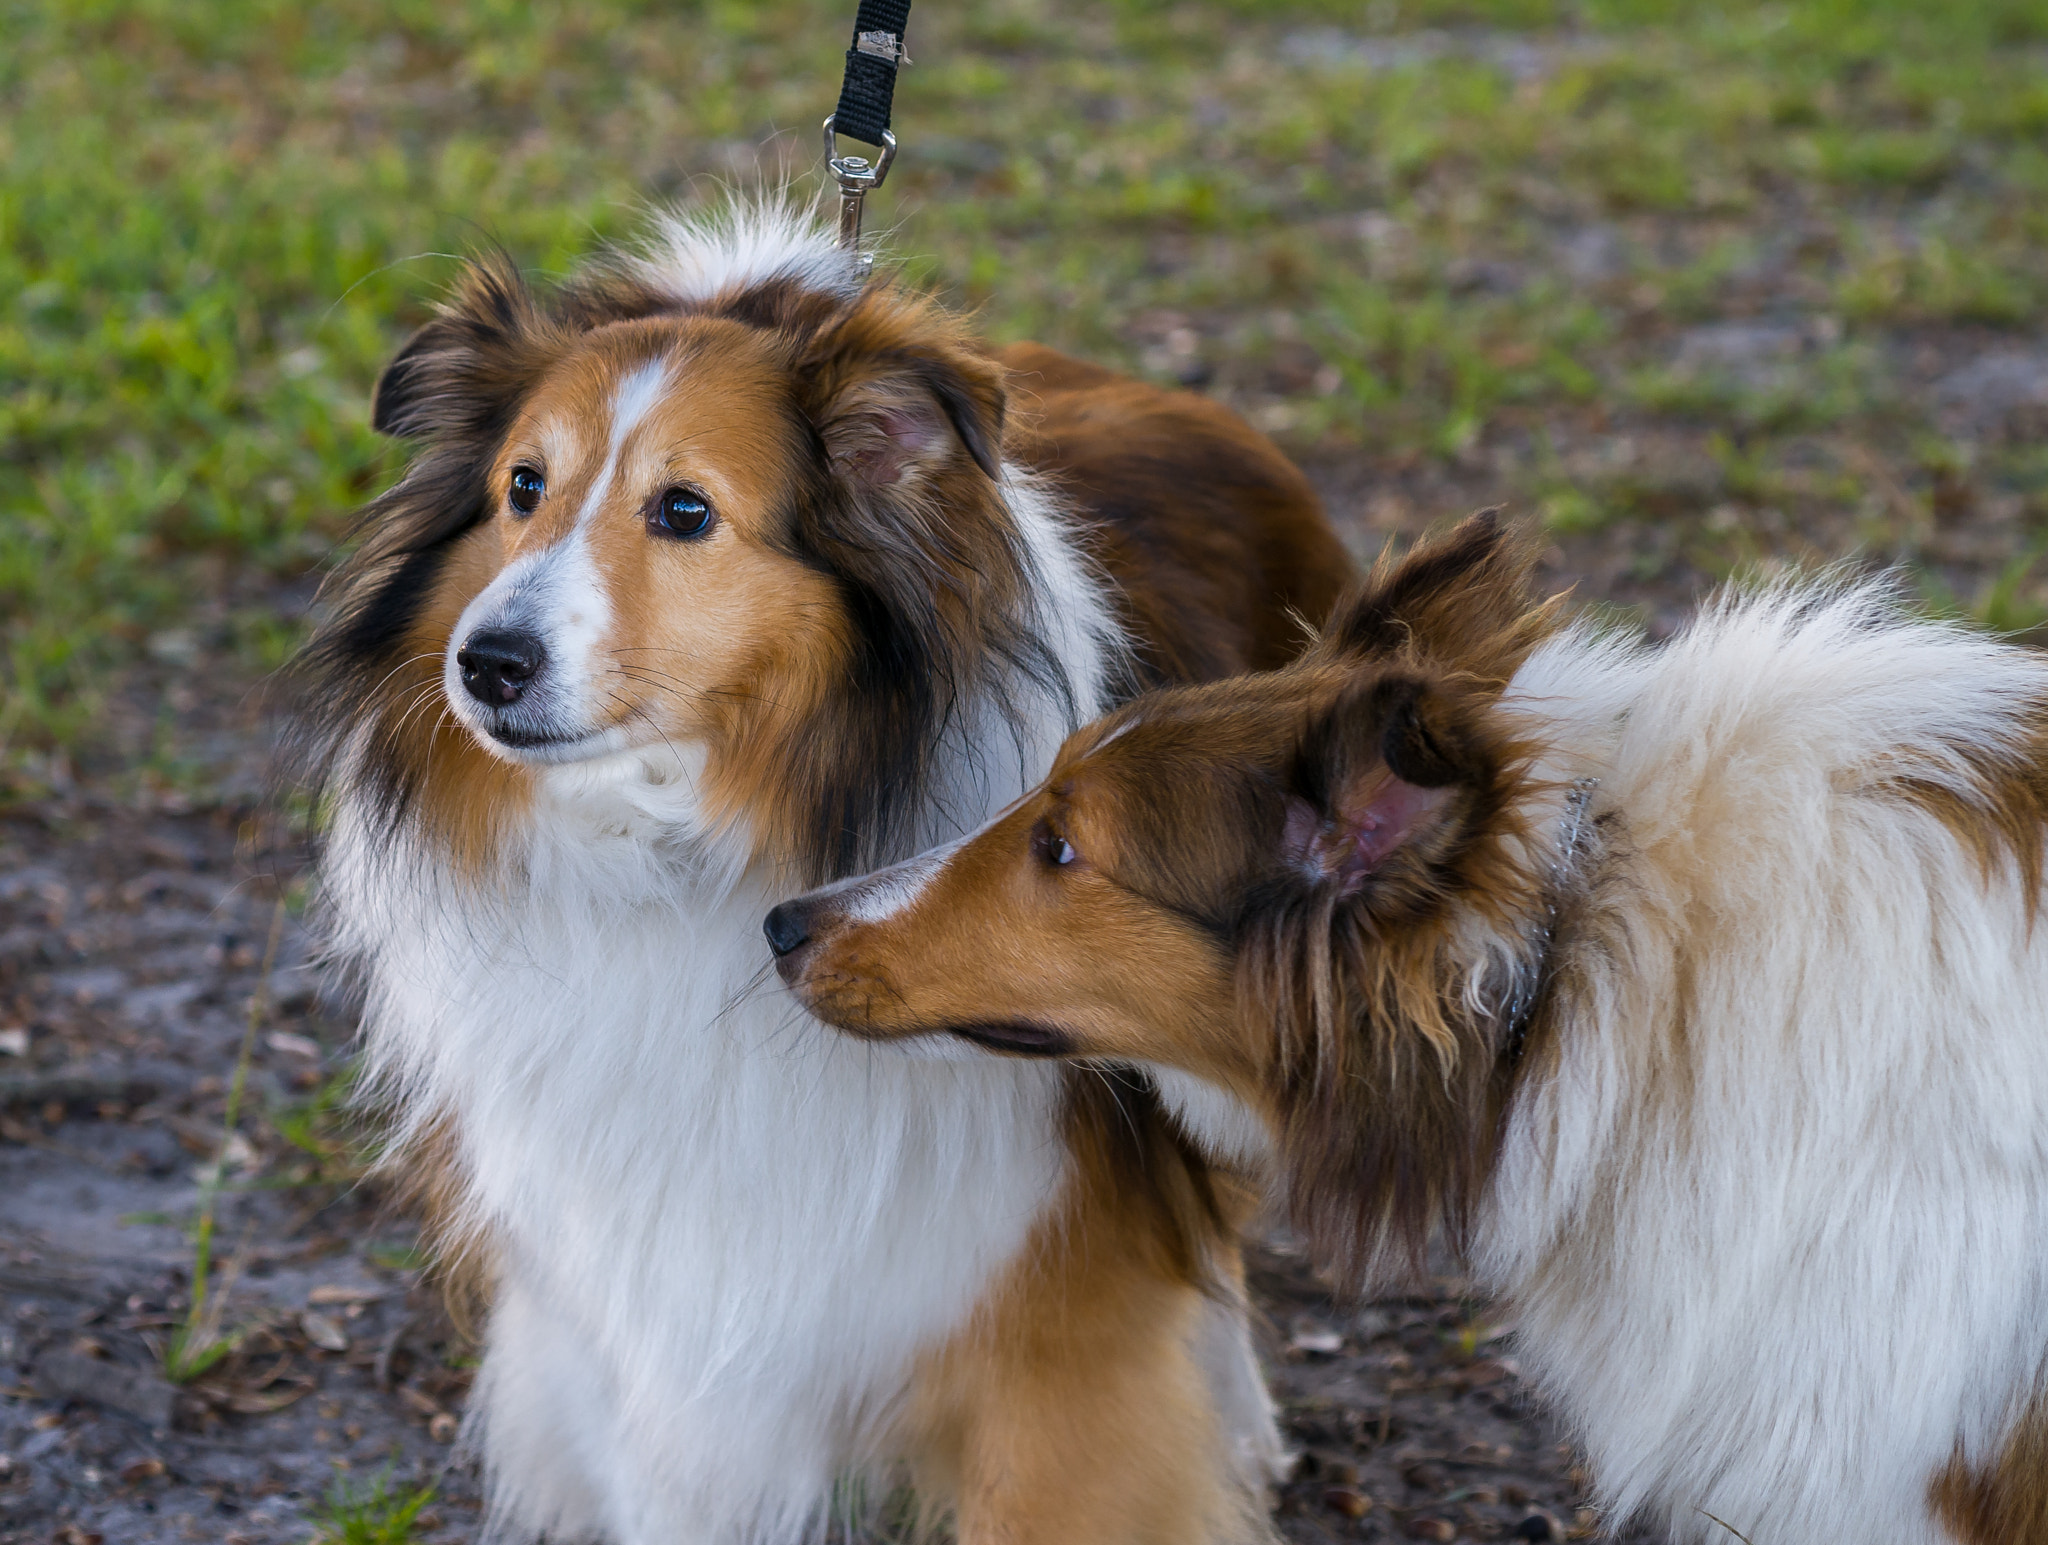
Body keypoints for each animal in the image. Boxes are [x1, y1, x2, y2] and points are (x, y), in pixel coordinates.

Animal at [280, 195, 1351, 1540]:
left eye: (685, 511)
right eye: (522, 486)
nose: (486, 664)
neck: (694, 856)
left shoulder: (1052, 1342)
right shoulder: (646, 1330)